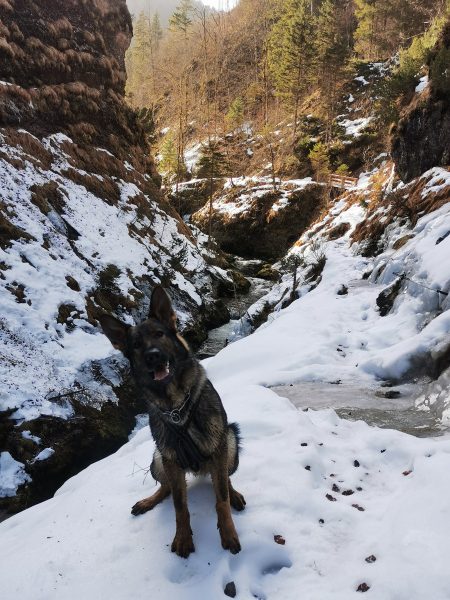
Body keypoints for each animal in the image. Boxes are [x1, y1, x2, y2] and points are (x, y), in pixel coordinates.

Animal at [99, 285, 245, 558]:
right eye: (136, 345)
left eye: (159, 334)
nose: (153, 356)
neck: (177, 406)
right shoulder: (171, 459)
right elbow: (179, 506)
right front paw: (183, 537)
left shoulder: (218, 448)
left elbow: (221, 499)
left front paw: (228, 533)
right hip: (158, 459)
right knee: (166, 487)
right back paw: (148, 501)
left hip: (230, 443)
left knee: (224, 480)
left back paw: (234, 494)